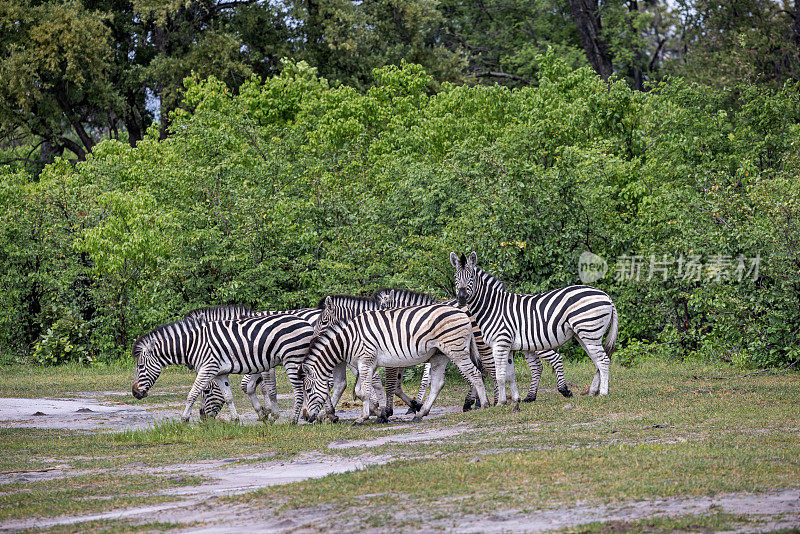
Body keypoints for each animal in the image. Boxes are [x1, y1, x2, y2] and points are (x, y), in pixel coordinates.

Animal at [133, 312, 314, 426]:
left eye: (140, 366)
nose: (134, 393)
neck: (192, 345)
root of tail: (307, 324)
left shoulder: (207, 368)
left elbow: (192, 393)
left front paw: (184, 419)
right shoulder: (220, 373)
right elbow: (228, 397)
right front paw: (235, 420)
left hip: (292, 359)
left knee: (299, 391)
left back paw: (293, 420)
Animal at [376, 288, 572, 406]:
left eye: (384, 307)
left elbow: (430, 378)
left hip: (538, 342)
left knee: (555, 359)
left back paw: (563, 390)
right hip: (527, 346)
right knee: (537, 366)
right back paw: (530, 397)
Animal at [450, 251, 620, 406]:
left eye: (471, 277)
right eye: (456, 278)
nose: (461, 298)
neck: (492, 307)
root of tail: (606, 296)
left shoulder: (501, 343)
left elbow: (500, 375)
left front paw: (501, 402)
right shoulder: (509, 346)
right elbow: (510, 375)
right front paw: (516, 400)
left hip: (589, 331)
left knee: (603, 360)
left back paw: (603, 393)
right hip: (584, 335)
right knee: (597, 361)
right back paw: (592, 391)